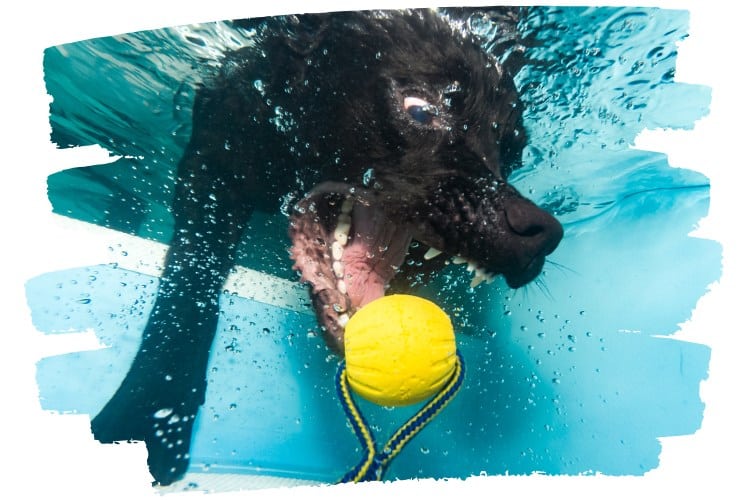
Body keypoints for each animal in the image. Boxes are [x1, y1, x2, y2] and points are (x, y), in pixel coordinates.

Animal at [91, 7, 564, 484]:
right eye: (420, 109)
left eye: (511, 151)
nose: (540, 234)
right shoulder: (212, 164)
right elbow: (190, 283)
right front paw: (153, 408)